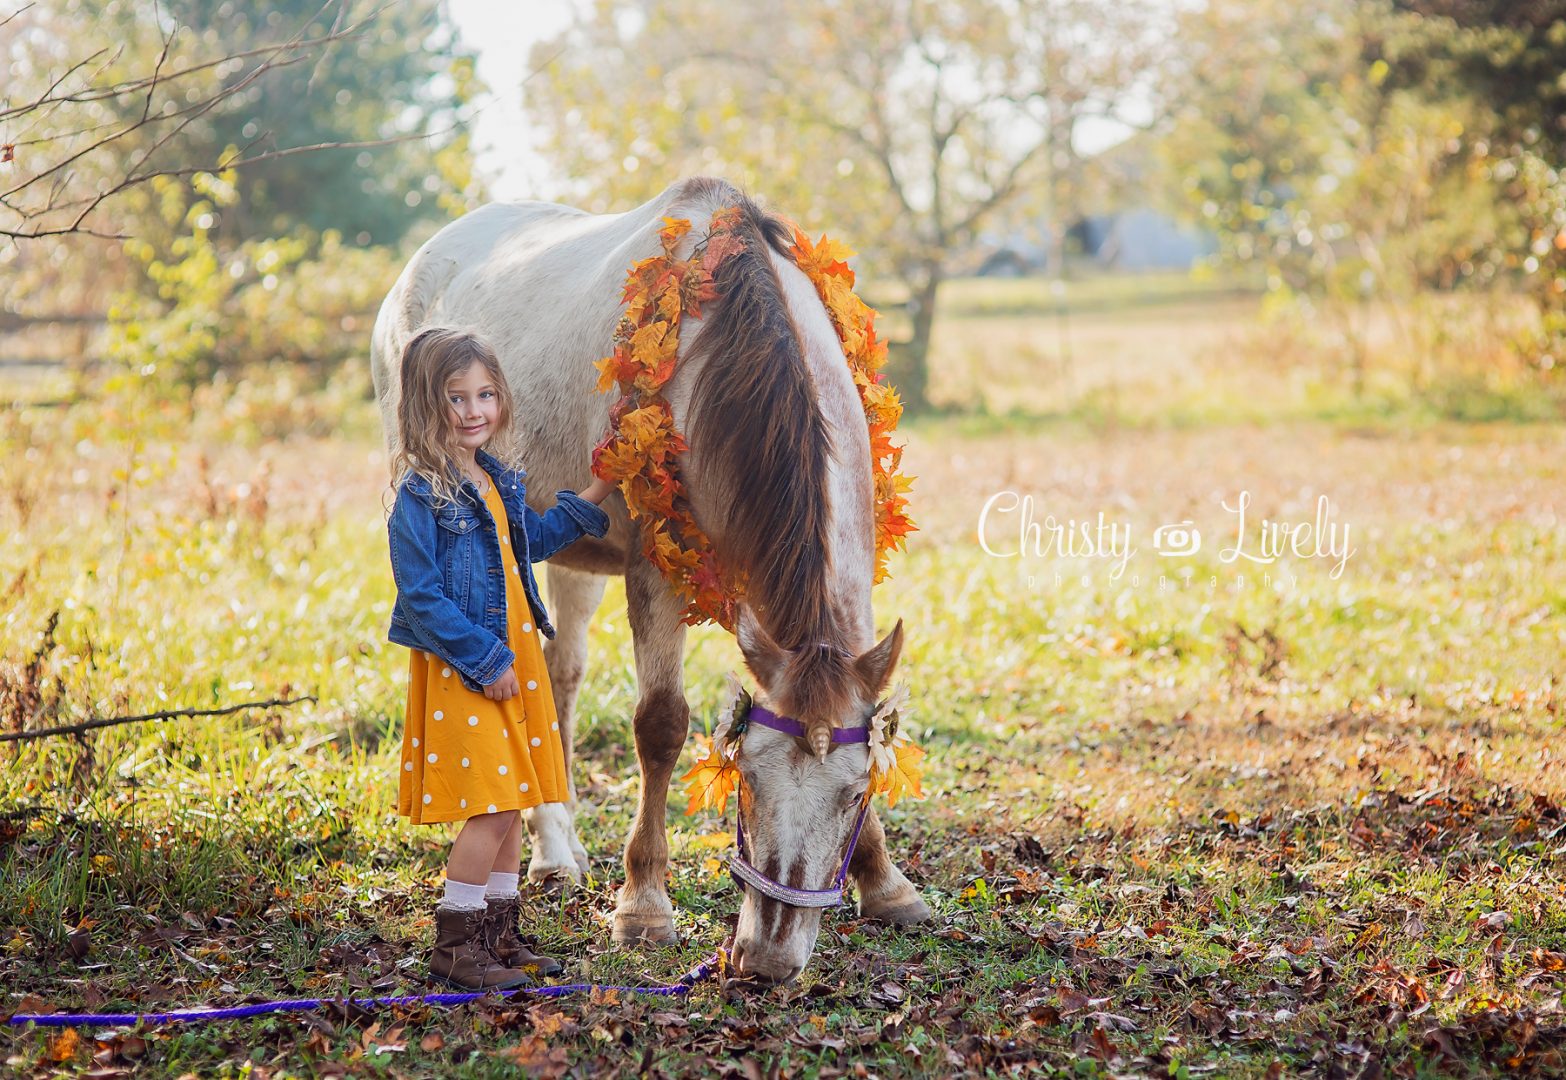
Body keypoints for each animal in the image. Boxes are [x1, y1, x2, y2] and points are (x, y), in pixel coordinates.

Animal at [369, 174, 927, 976]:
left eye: (854, 796)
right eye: (745, 779)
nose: (767, 960)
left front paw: (885, 883)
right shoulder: (653, 572)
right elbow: (661, 725)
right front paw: (644, 905)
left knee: (558, 676)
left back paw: (557, 848)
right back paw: (553, 850)